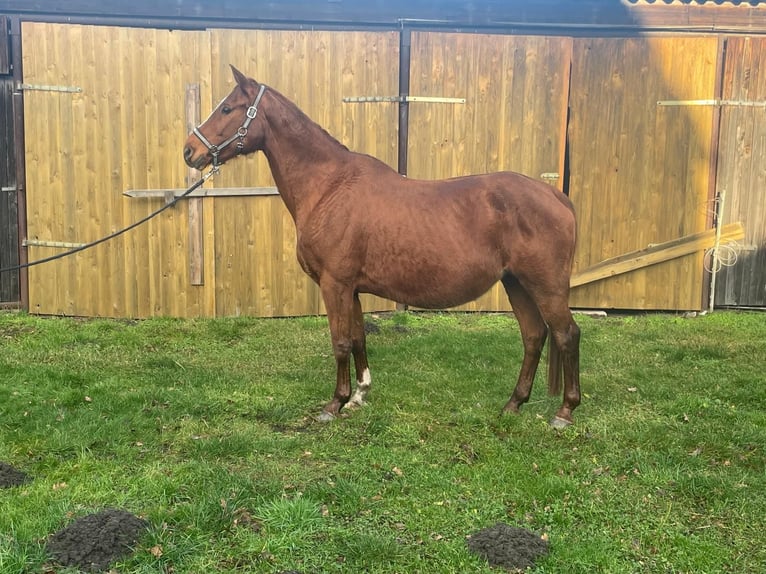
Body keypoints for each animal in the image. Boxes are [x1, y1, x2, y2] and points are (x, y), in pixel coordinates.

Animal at [186, 66, 584, 428]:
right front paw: (359, 395)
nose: (190, 151)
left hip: (545, 285)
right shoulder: (351, 288)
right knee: (534, 335)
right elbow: (358, 338)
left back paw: (564, 412)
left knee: (567, 334)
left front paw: (334, 404)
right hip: (516, 283)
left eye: (227, 108)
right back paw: (513, 405)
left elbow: (340, 341)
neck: (329, 186)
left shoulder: (334, 284)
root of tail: (556, 196)